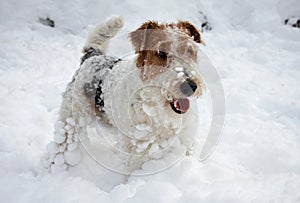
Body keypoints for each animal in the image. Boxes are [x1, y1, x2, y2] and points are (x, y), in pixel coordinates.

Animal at [42, 15, 205, 175]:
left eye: (190, 50)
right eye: (161, 52)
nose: (190, 86)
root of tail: (91, 57)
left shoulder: (185, 139)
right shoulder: (136, 150)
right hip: (70, 120)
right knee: (59, 147)